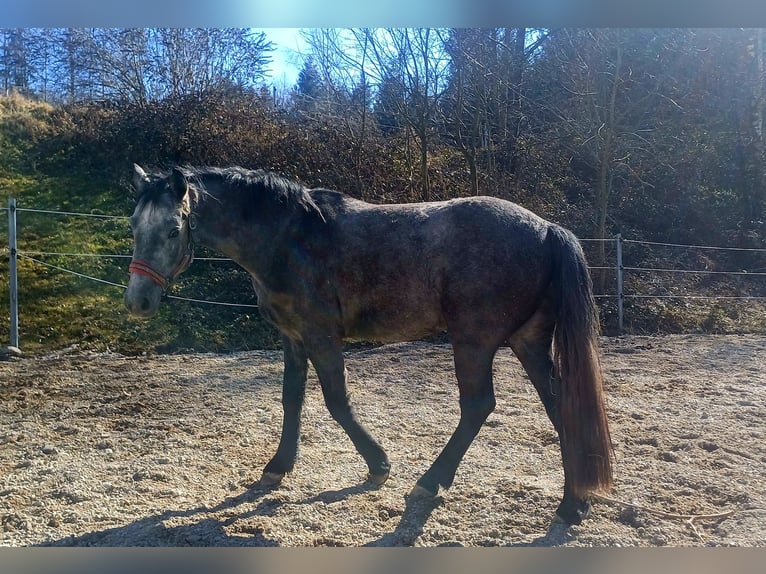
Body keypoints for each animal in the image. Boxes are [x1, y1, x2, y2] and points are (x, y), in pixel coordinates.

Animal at [127, 165, 616, 528]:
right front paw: (277, 467)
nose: (137, 302)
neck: (288, 237)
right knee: (561, 406)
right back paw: (574, 504)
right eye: (133, 225)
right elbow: (291, 399)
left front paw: (378, 465)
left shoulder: (321, 336)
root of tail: (547, 228)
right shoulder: (292, 337)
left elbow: (336, 401)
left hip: (473, 342)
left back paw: (432, 481)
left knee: (478, 406)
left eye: (172, 229)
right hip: (527, 342)